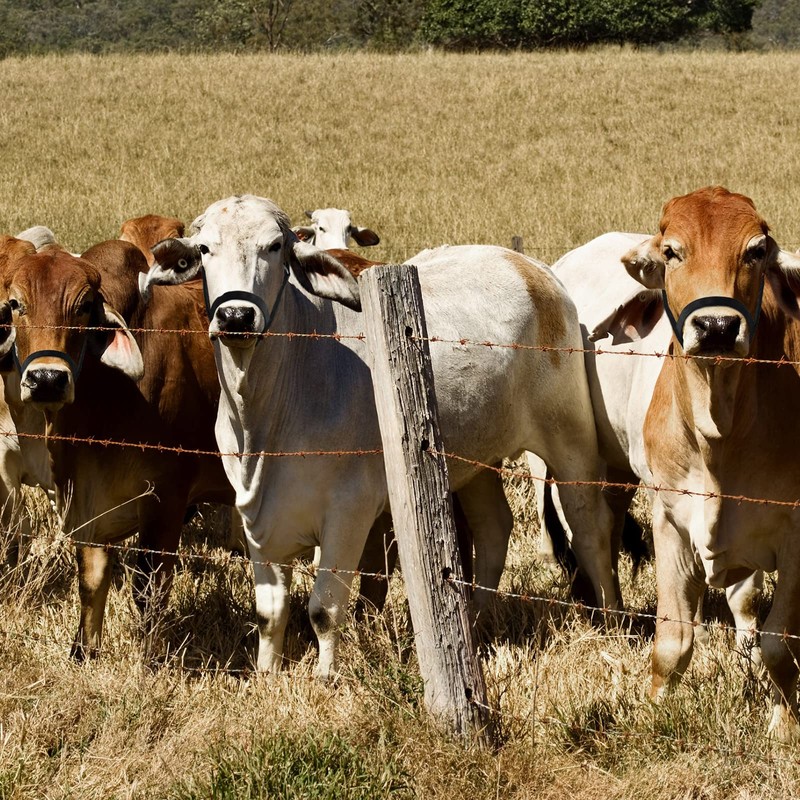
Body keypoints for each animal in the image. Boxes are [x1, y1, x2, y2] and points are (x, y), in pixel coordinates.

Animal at [0, 235, 235, 659]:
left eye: (82, 307)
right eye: (15, 304)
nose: (47, 380)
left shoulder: (167, 498)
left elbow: (149, 588)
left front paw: (150, 657)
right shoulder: (84, 497)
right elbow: (91, 579)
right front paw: (84, 651)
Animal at [141, 194, 620, 681]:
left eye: (275, 246)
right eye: (204, 249)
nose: (236, 316)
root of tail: (533, 269)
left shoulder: (347, 511)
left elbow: (324, 610)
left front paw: (326, 677)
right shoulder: (256, 517)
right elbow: (270, 613)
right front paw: (266, 674)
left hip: (569, 438)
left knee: (589, 525)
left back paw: (610, 622)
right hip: (476, 459)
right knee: (494, 527)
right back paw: (479, 619)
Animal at [615, 186, 800, 741]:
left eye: (756, 250)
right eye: (672, 251)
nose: (717, 325)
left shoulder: (796, 534)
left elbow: (780, 646)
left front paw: (785, 728)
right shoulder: (671, 521)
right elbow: (673, 640)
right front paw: (653, 712)